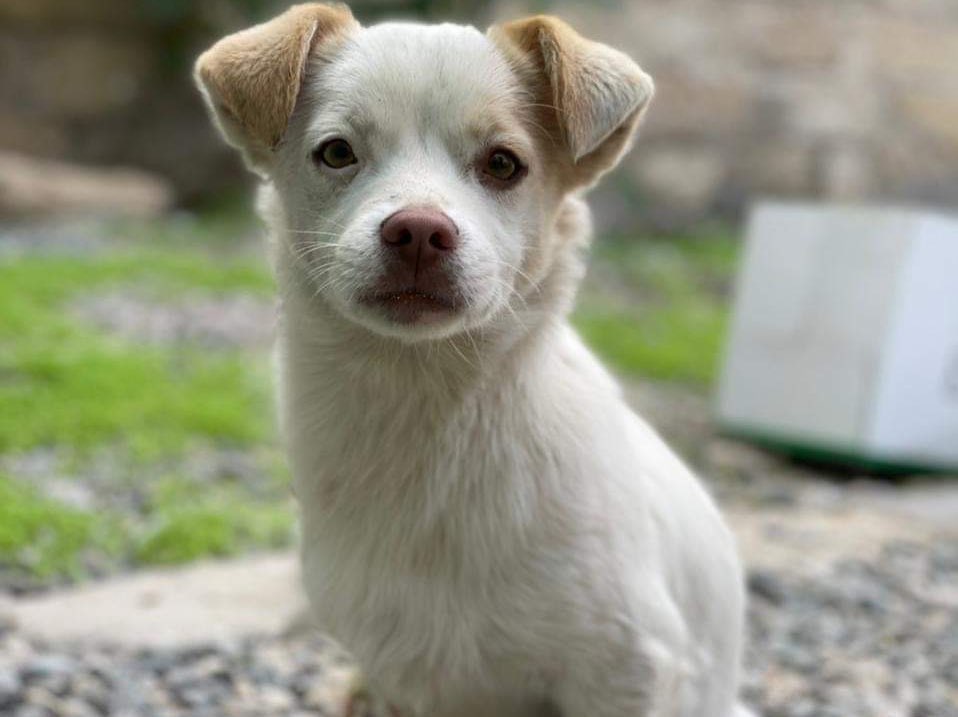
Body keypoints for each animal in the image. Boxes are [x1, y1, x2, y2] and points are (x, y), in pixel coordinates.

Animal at [193, 5, 752, 716]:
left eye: (503, 164)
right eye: (338, 152)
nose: (418, 232)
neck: (424, 412)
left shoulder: (629, 668)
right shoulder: (396, 676)